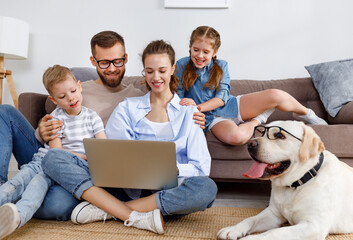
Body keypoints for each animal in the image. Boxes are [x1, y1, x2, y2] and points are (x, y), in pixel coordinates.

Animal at [217, 121, 352, 239]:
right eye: (261, 133)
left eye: (279, 135)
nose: (250, 144)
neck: (297, 183)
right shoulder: (273, 214)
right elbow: (251, 219)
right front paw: (233, 229)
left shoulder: (314, 225)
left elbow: (274, 232)